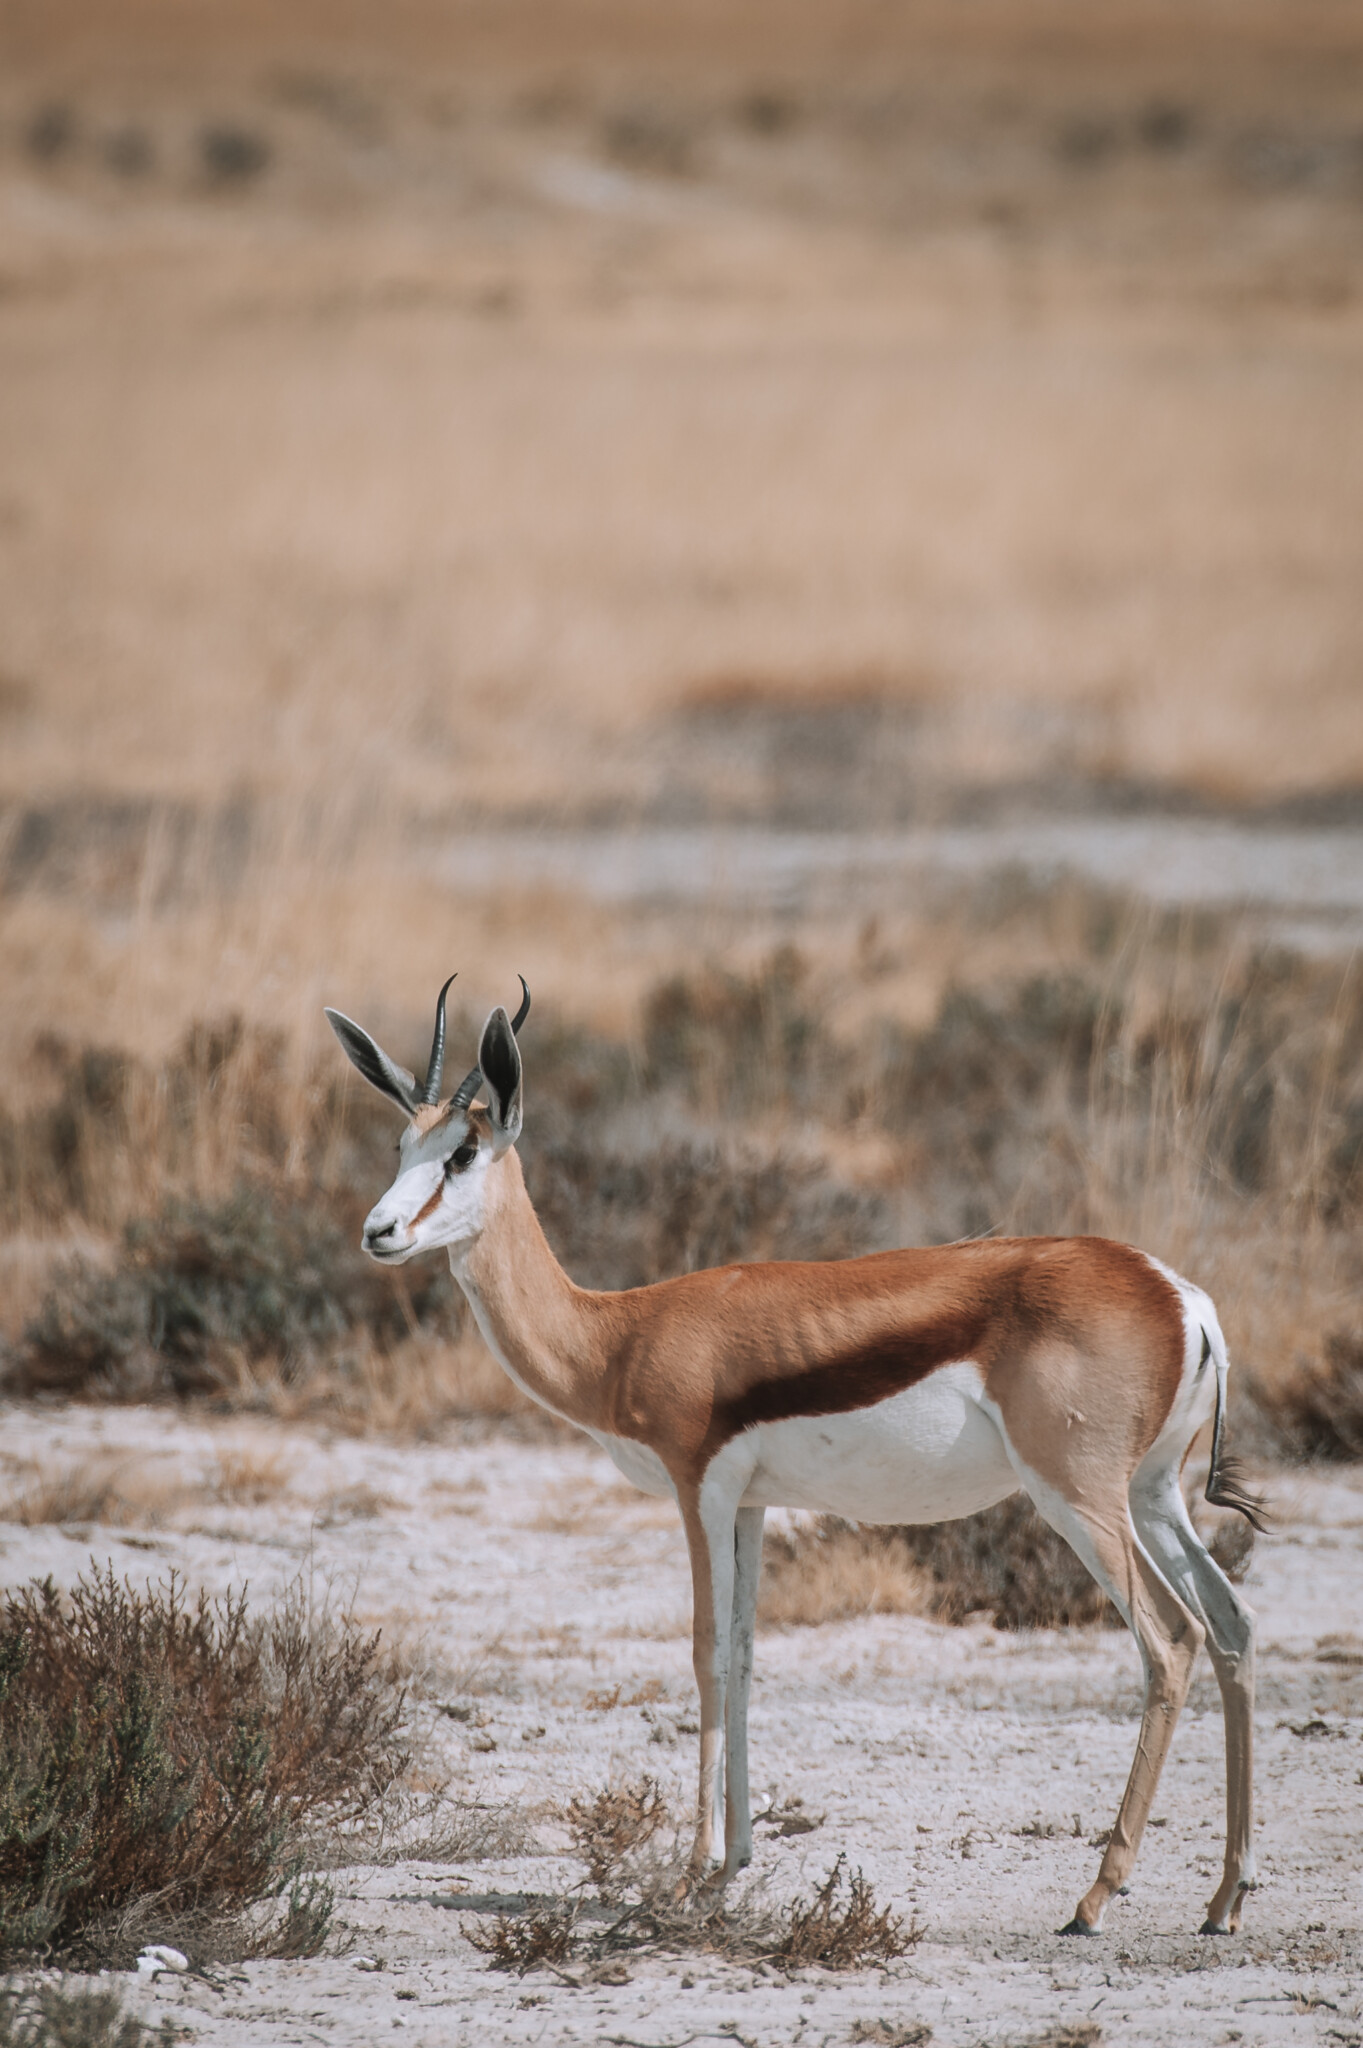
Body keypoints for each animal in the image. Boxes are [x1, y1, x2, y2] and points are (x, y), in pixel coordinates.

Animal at [323, 974, 1260, 1933]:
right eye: (401, 1142)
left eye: (464, 1153)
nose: (379, 1231)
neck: (618, 1335)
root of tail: (1180, 1296)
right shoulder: (749, 1501)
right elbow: (743, 1655)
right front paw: (732, 1865)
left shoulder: (698, 1489)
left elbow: (704, 1652)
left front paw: (688, 1875)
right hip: (1151, 1494)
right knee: (1230, 1625)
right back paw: (1223, 1897)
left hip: (1076, 1498)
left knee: (1169, 1642)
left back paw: (1095, 1895)